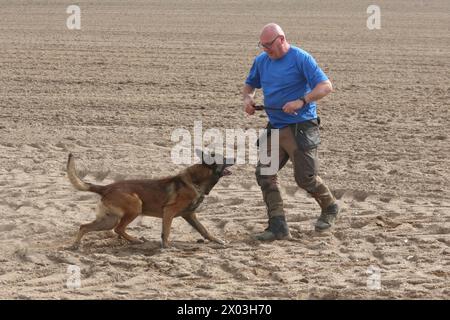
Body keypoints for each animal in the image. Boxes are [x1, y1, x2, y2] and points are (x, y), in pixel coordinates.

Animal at [67, 149, 236, 249]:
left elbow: (204, 230)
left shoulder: (190, 215)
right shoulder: (169, 212)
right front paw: (166, 247)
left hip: (109, 220)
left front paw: (217, 241)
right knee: (118, 228)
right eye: (224, 158)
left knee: (85, 226)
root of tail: (106, 187)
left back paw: (77, 244)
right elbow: (166, 232)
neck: (197, 181)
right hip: (135, 207)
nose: (235, 157)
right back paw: (135, 240)